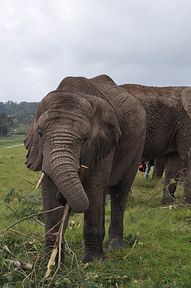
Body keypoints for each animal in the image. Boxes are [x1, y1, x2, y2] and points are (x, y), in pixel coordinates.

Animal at [24, 73, 145, 260]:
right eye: (41, 134)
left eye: (85, 139)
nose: (63, 198)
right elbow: (49, 189)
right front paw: (50, 264)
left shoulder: (103, 143)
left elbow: (93, 186)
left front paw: (92, 262)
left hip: (138, 145)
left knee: (119, 192)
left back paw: (115, 248)